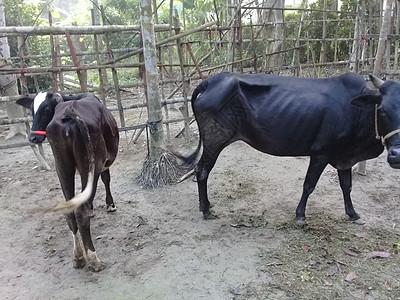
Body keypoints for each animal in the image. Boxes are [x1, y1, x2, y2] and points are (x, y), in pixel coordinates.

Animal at [16, 92, 119, 272]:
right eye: (31, 110)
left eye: (46, 109)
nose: (33, 137)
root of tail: (69, 114)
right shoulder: (103, 163)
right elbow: (106, 179)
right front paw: (110, 205)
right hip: (91, 164)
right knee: (80, 210)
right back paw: (93, 259)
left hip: (62, 166)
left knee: (70, 210)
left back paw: (78, 257)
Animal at [182, 71, 400, 224]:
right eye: (382, 110)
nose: (396, 155)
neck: (356, 113)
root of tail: (210, 81)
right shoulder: (320, 153)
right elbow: (309, 185)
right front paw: (300, 216)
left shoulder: (344, 158)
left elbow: (347, 186)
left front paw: (353, 214)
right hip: (215, 140)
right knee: (201, 170)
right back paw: (206, 210)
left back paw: (206, 205)